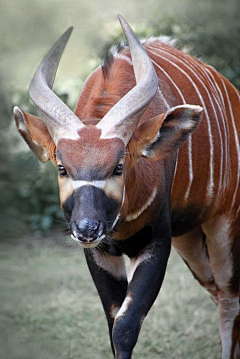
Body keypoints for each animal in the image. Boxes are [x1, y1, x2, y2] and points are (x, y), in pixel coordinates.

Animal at [14, 14, 240, 359]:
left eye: (118, 166)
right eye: (62, 168)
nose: (87, 228)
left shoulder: (156, 243)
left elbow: (125, 326)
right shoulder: (101, 252)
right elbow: (113, 322)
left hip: (223, 223)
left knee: (230, 299)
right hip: (190, 240)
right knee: (217, 292)